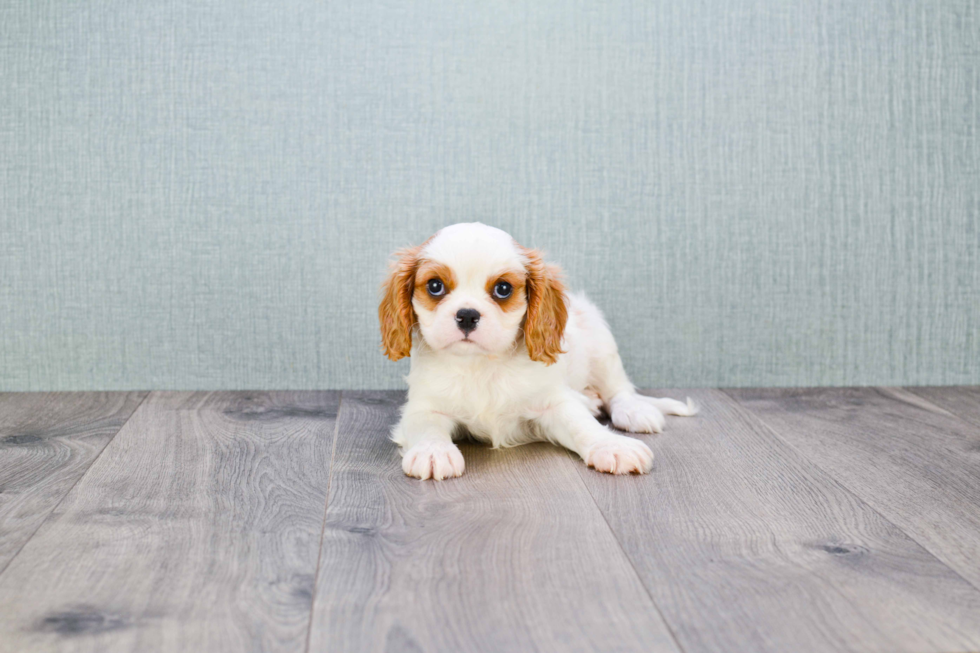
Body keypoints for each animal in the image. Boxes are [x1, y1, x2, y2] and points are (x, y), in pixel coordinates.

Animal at [378, 224, 692, 478]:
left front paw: (612, 446)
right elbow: (427, 425)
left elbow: (580, 423)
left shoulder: (554, 402)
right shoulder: (423, 405)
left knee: (619, 390)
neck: (481, 363)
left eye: (503, 289)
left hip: (601, 342)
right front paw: (433, 451)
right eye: (435, 286)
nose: (467, 315)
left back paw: (633, 410)